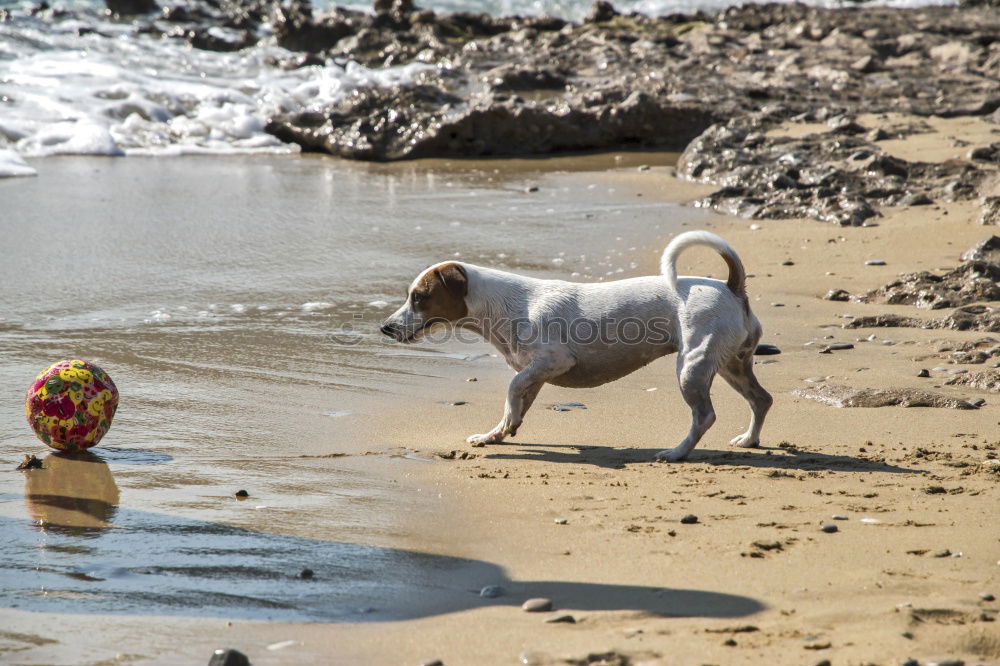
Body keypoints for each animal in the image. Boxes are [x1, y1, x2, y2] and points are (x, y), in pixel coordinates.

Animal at [378, 231, 768, 460]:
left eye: (419, 297)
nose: (385, 328)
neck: (506, 305)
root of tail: (732, 287)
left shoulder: (554, 361)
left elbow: (512, 387)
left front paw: (507, 424)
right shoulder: (535, 373)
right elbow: (515, 403)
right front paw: (498, 433)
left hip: (693, 365)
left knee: (705, 416)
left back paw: (676, 452)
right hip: (732, 365)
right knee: (761, 400)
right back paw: (749, 440)